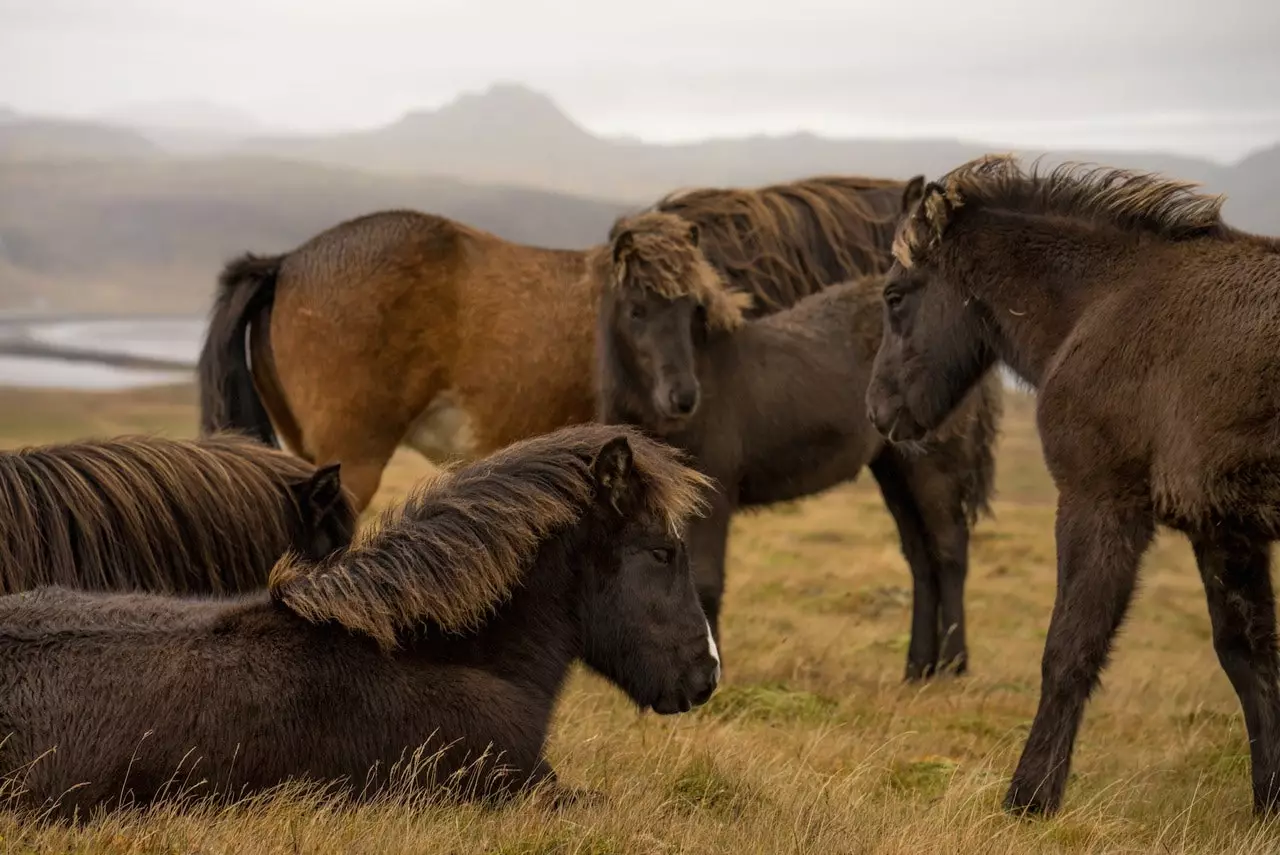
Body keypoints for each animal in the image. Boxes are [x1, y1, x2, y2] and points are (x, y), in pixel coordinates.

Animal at [593, 181, 1003, 680]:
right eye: (637, 310)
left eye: (693, 308)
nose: (684, 397)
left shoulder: (713, 497)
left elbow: (705, 582)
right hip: (893, 471)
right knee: (921, 560)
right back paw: (916, 670)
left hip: (932, 469)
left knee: (948, 553)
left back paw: (954, 666)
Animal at [865, 151, 1280, 814]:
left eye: (894, 295)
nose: (878, 410)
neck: (1106, 302)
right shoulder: (1224, 530)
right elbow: (1248, 656)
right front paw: (1270, 801)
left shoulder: (1099, 503)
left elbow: (1069, 650)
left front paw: (1030, 796)